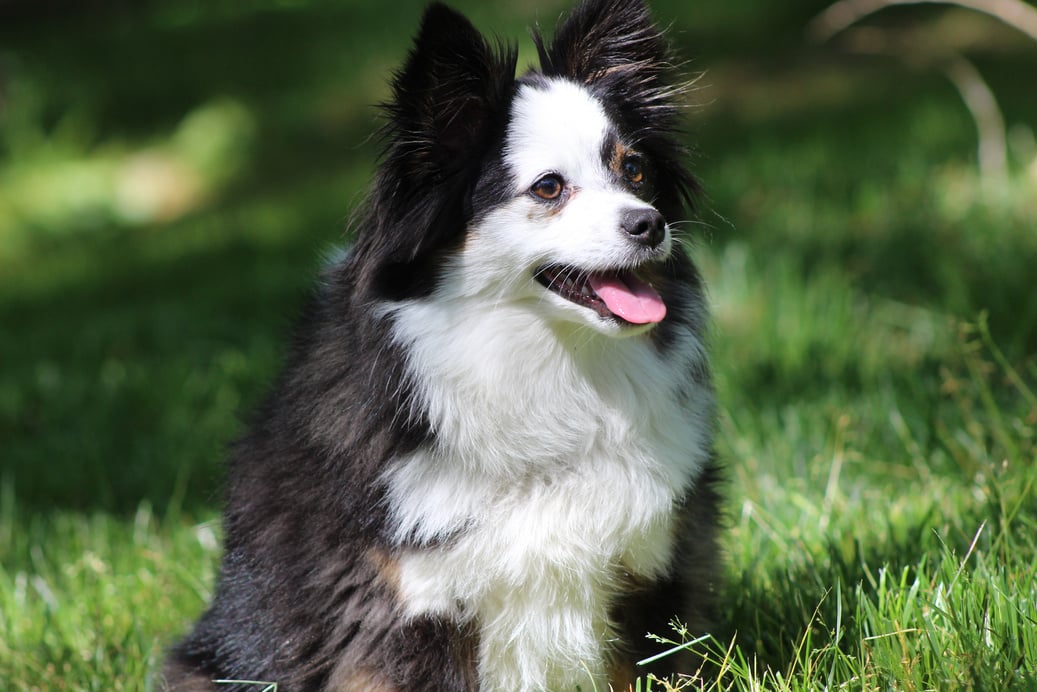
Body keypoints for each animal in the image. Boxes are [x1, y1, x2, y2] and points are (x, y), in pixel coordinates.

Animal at [165, 1, 721, 688]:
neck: (544, 365)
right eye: (548, 188)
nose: (650, 224)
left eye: (635, 170)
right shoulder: (409, 608)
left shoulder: (654, 577)